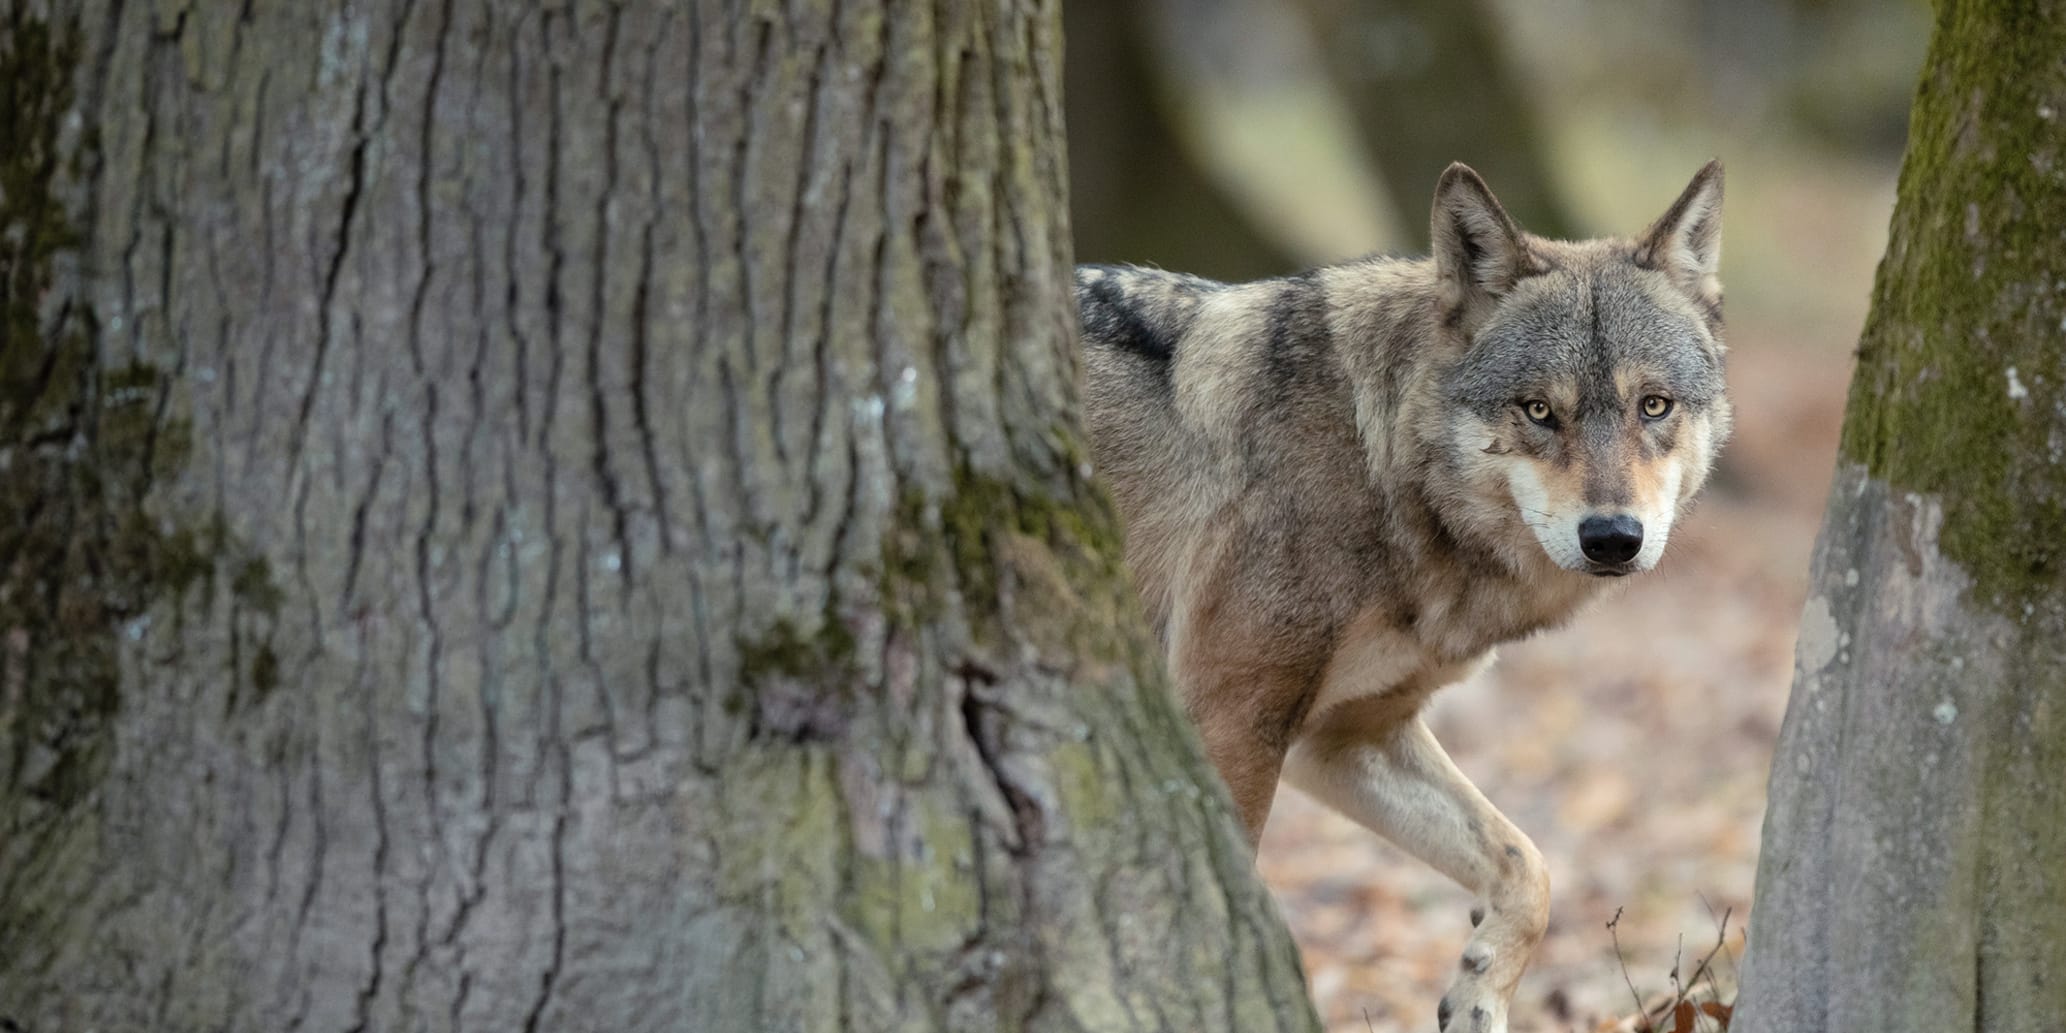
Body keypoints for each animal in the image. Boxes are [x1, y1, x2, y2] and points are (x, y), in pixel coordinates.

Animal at [1075, 162, 1730, 1033]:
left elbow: (1529, 867)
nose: (1612, 537)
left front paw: (1480, 995)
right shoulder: (1228, 716)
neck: (1377, 460)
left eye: (1652, 404)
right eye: (1539, 410)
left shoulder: (1345, 737)